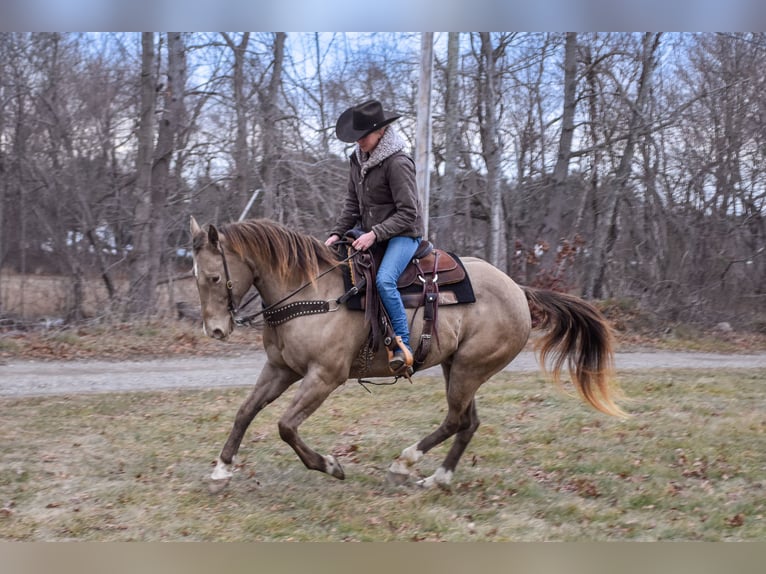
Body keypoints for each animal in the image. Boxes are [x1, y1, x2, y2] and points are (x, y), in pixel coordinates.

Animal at [189, 216, 626, 490]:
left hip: (470, 368)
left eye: (214, 277)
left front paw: (331, 465)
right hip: (457, 367)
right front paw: (221, 469)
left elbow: (285, 426)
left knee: (455, 420)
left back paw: (404, 463)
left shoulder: (323, 377)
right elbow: (246, 411)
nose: (216, 330)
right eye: (195, 277)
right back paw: (437, 479)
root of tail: (519, 290)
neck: (312, 293)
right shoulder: (280, 369)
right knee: (469, 423)